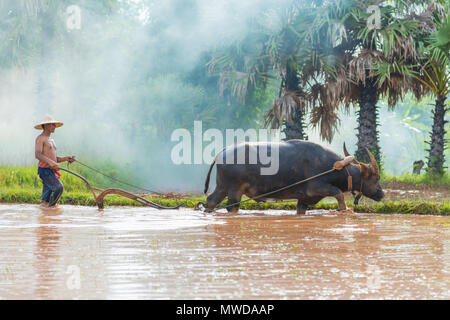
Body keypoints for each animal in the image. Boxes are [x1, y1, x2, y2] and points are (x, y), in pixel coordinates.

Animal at [204, 139, 384, 212]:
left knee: (210, 201)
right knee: (232, 207)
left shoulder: (304, 199)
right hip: (234, 191)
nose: (382, 194)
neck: (333, 168)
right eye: (376, 178)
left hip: (222, 187)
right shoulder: (317, 188)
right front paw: (343, 208)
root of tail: (222, 152)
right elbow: (339, 194)